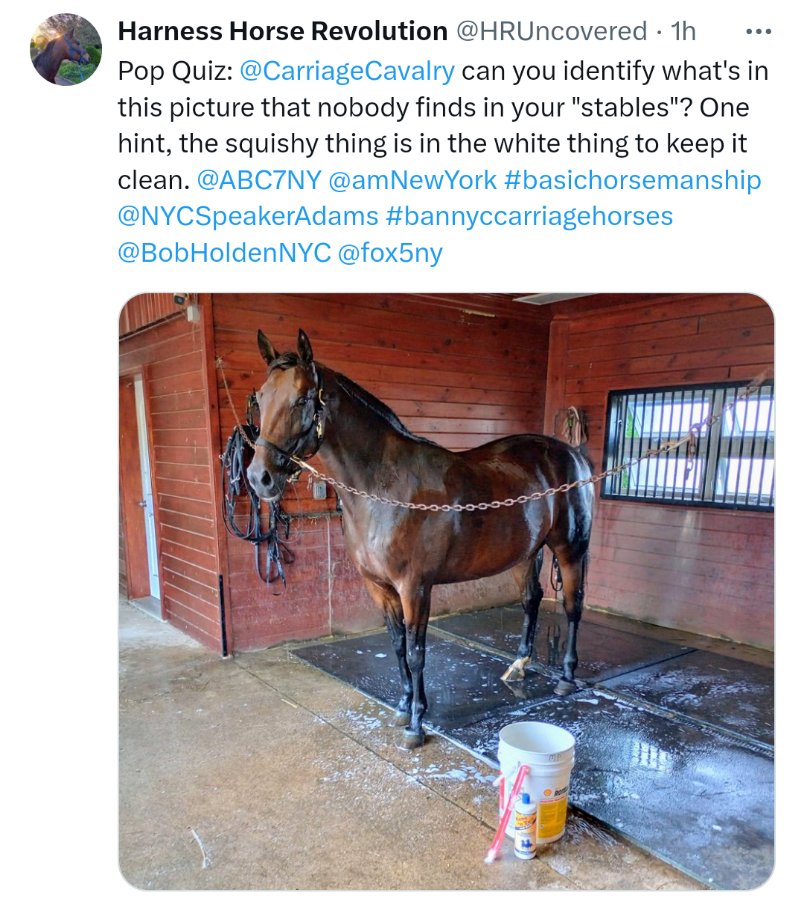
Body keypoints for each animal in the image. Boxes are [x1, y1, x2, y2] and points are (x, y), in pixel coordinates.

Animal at [247, 329, 594, 749]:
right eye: (260, 398)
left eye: (301, 398)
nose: (259, 478)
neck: (384, 489)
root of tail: (572, 454)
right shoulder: (379, 587)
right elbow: (397, 646)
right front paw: (401, 706)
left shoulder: (415, 587)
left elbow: (416, 653)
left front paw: (416, 724)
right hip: (527, 552)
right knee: (532, 598)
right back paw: (518, 666)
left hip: (570, 549)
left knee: (573, 606)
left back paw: (566, 678)